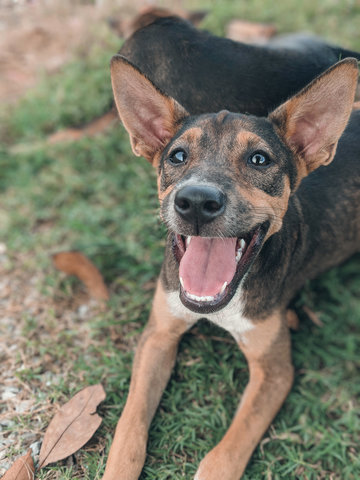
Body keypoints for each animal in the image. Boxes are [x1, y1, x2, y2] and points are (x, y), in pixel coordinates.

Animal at [97, 7, 358, 480]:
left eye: (259, 159)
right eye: (177, 156)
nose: (196, 202)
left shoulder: (275, 371)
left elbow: (223, 455)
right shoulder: (159, 333)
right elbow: (128, 429)